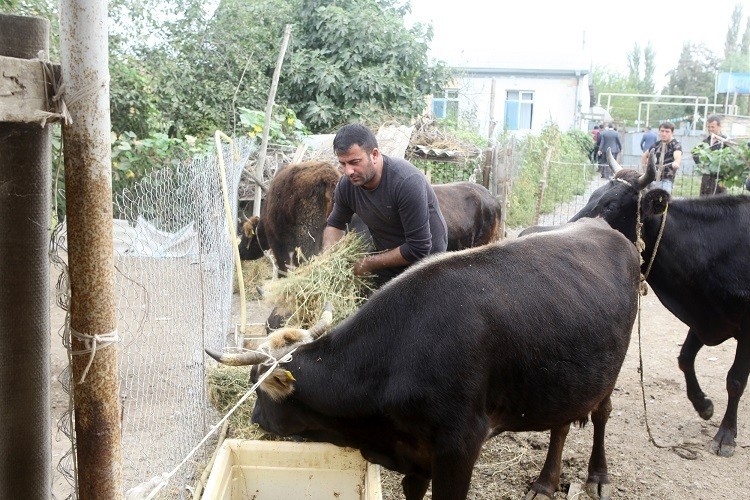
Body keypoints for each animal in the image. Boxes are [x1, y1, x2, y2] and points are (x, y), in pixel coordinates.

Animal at [572, 151, 750, 458]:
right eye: (592, 196)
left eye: (611, 205)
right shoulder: (704, 317)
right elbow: (684, 359)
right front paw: (703, 405)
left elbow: (736, 379)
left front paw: (726, 435)